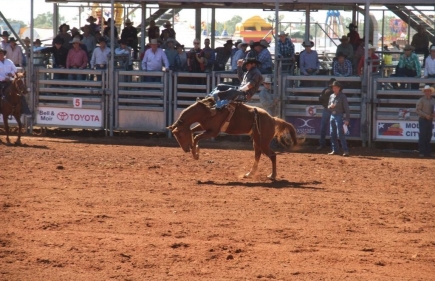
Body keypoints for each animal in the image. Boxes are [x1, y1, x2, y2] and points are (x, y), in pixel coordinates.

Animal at [168, 97, 300, 178]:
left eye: (180, 134)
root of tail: (273, 119)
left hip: (263, 142)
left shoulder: (213, 132)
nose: (185, 149)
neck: (207, 110)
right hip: (257, 141)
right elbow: (193, 132)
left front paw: (196, 154)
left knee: (272, 155)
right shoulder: (203, 126)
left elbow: (196, 137)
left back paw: (272, 175)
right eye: (176, 136)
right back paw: (250, 174)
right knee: (257, 155)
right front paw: (196, 150)